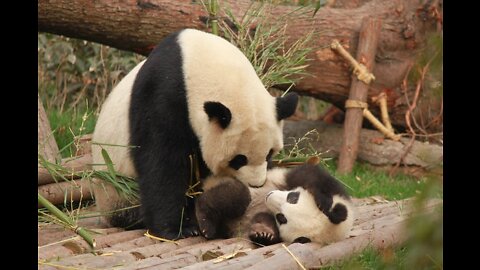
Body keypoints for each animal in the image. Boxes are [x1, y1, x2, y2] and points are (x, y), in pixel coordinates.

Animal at [91, 29, 298, 240]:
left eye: (269, 154)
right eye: (239, 159)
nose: (256, 184)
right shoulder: (162, 95)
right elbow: (162, 162)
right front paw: (175, 229)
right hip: (117, 190)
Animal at [196, 162, 356, 245]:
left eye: (281, 218)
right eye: (293, 197)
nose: (269, 196)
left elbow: (264, 220)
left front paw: (263, 233)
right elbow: (310, 174)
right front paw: (323, 200)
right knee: (236, 196)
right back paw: (205, 222)